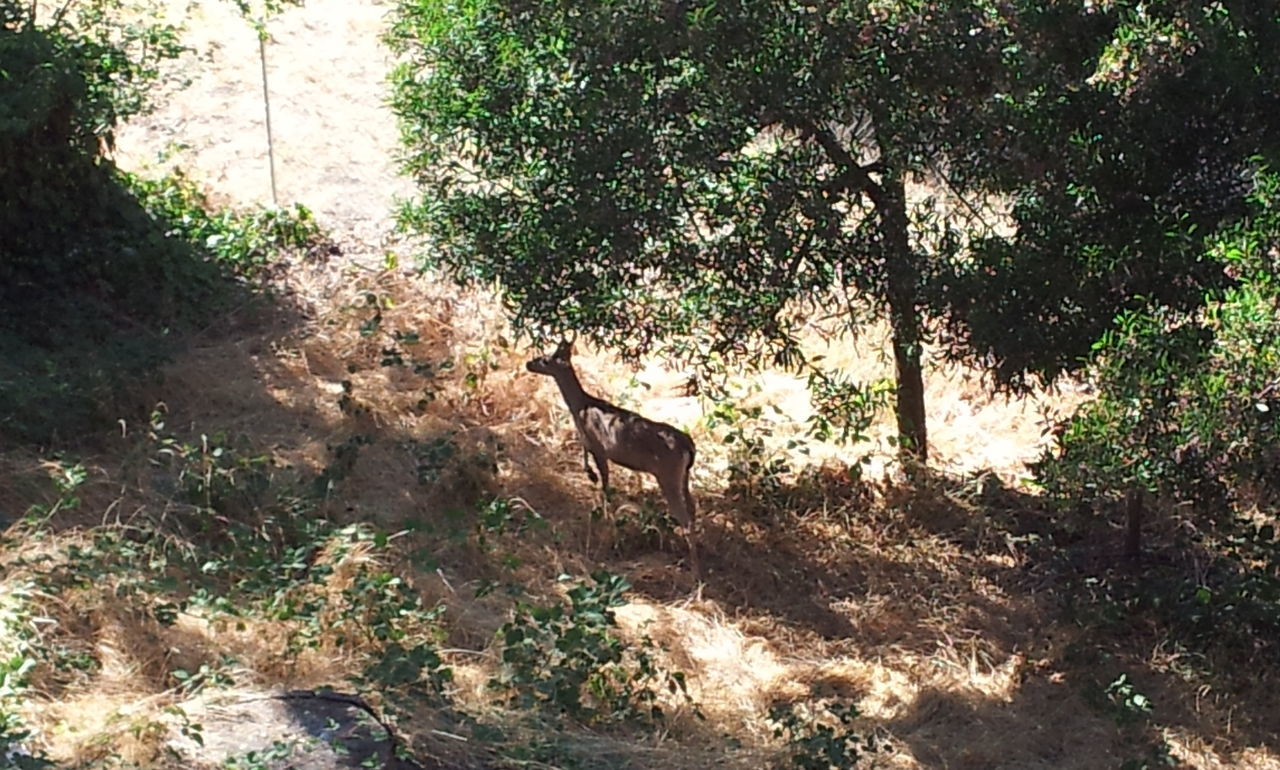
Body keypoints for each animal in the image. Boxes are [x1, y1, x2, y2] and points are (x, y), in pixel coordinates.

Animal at [527, 337, 706, 573]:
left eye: (545, 359)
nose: (529, 363)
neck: (581, 407)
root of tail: (689, 446)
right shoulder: (591, 443)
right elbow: (587, 457)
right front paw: (591, 475)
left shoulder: (600, 447)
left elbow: (605, 484)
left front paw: (606, 514)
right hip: (683, 475)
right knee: (692, 510)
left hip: (668, 474)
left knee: (684, 518)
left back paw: (694, 571)